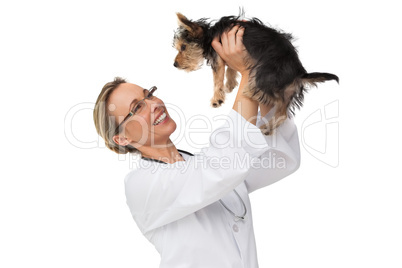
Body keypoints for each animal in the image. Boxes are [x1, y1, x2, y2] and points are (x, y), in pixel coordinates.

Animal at [173, 11, 340, 135]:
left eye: (183, 47)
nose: (174, 64)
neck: (210, 34)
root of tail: (299, 73)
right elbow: (230, 69)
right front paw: (230, 84)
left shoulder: (217, 58)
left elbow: (217, 78)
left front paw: (217, 98)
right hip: (284, 90)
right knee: (283, 112)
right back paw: (268, 128)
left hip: (263, 77)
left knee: (276, 102)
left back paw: (251, 93)